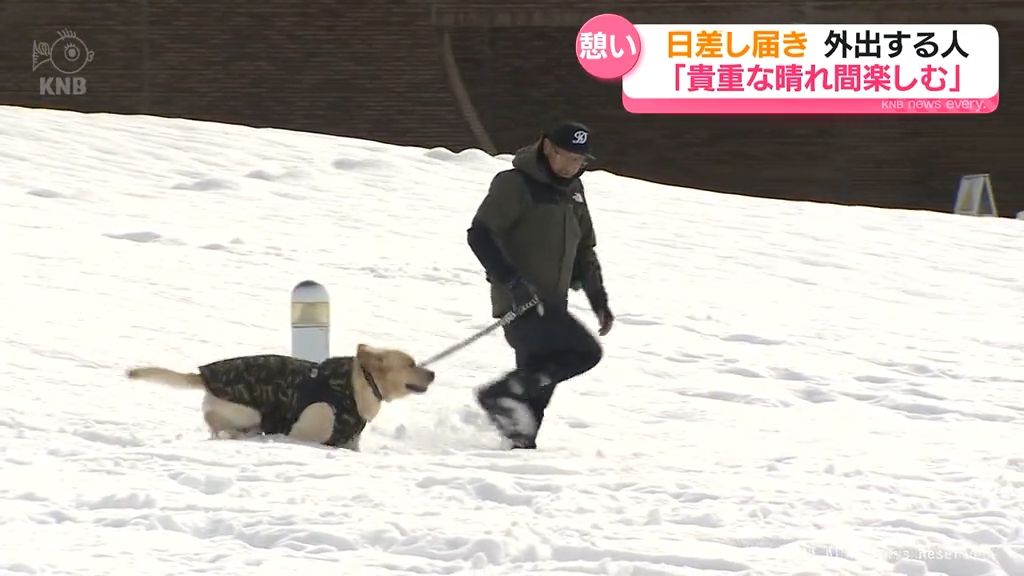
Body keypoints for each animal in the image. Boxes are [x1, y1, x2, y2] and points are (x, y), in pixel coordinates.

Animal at [125, 340, 434, 448]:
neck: (361, 385)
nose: (432, 373)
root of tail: (202, 376)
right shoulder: (307, 432)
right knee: (223, 429)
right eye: (410, 364)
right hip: (248, 412)